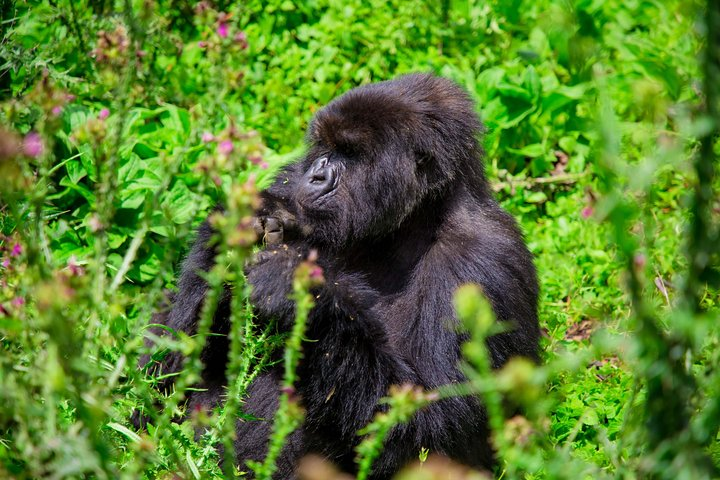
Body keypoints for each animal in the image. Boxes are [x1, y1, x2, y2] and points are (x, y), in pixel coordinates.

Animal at [138, 73, 536, 478]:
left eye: (351, 152)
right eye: (325, 147)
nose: (316, 175)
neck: (411, 221)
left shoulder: (484, 264)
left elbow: (443, 426)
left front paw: (298, 292)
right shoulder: (289, 183)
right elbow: (171, 353)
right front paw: (238, 230)